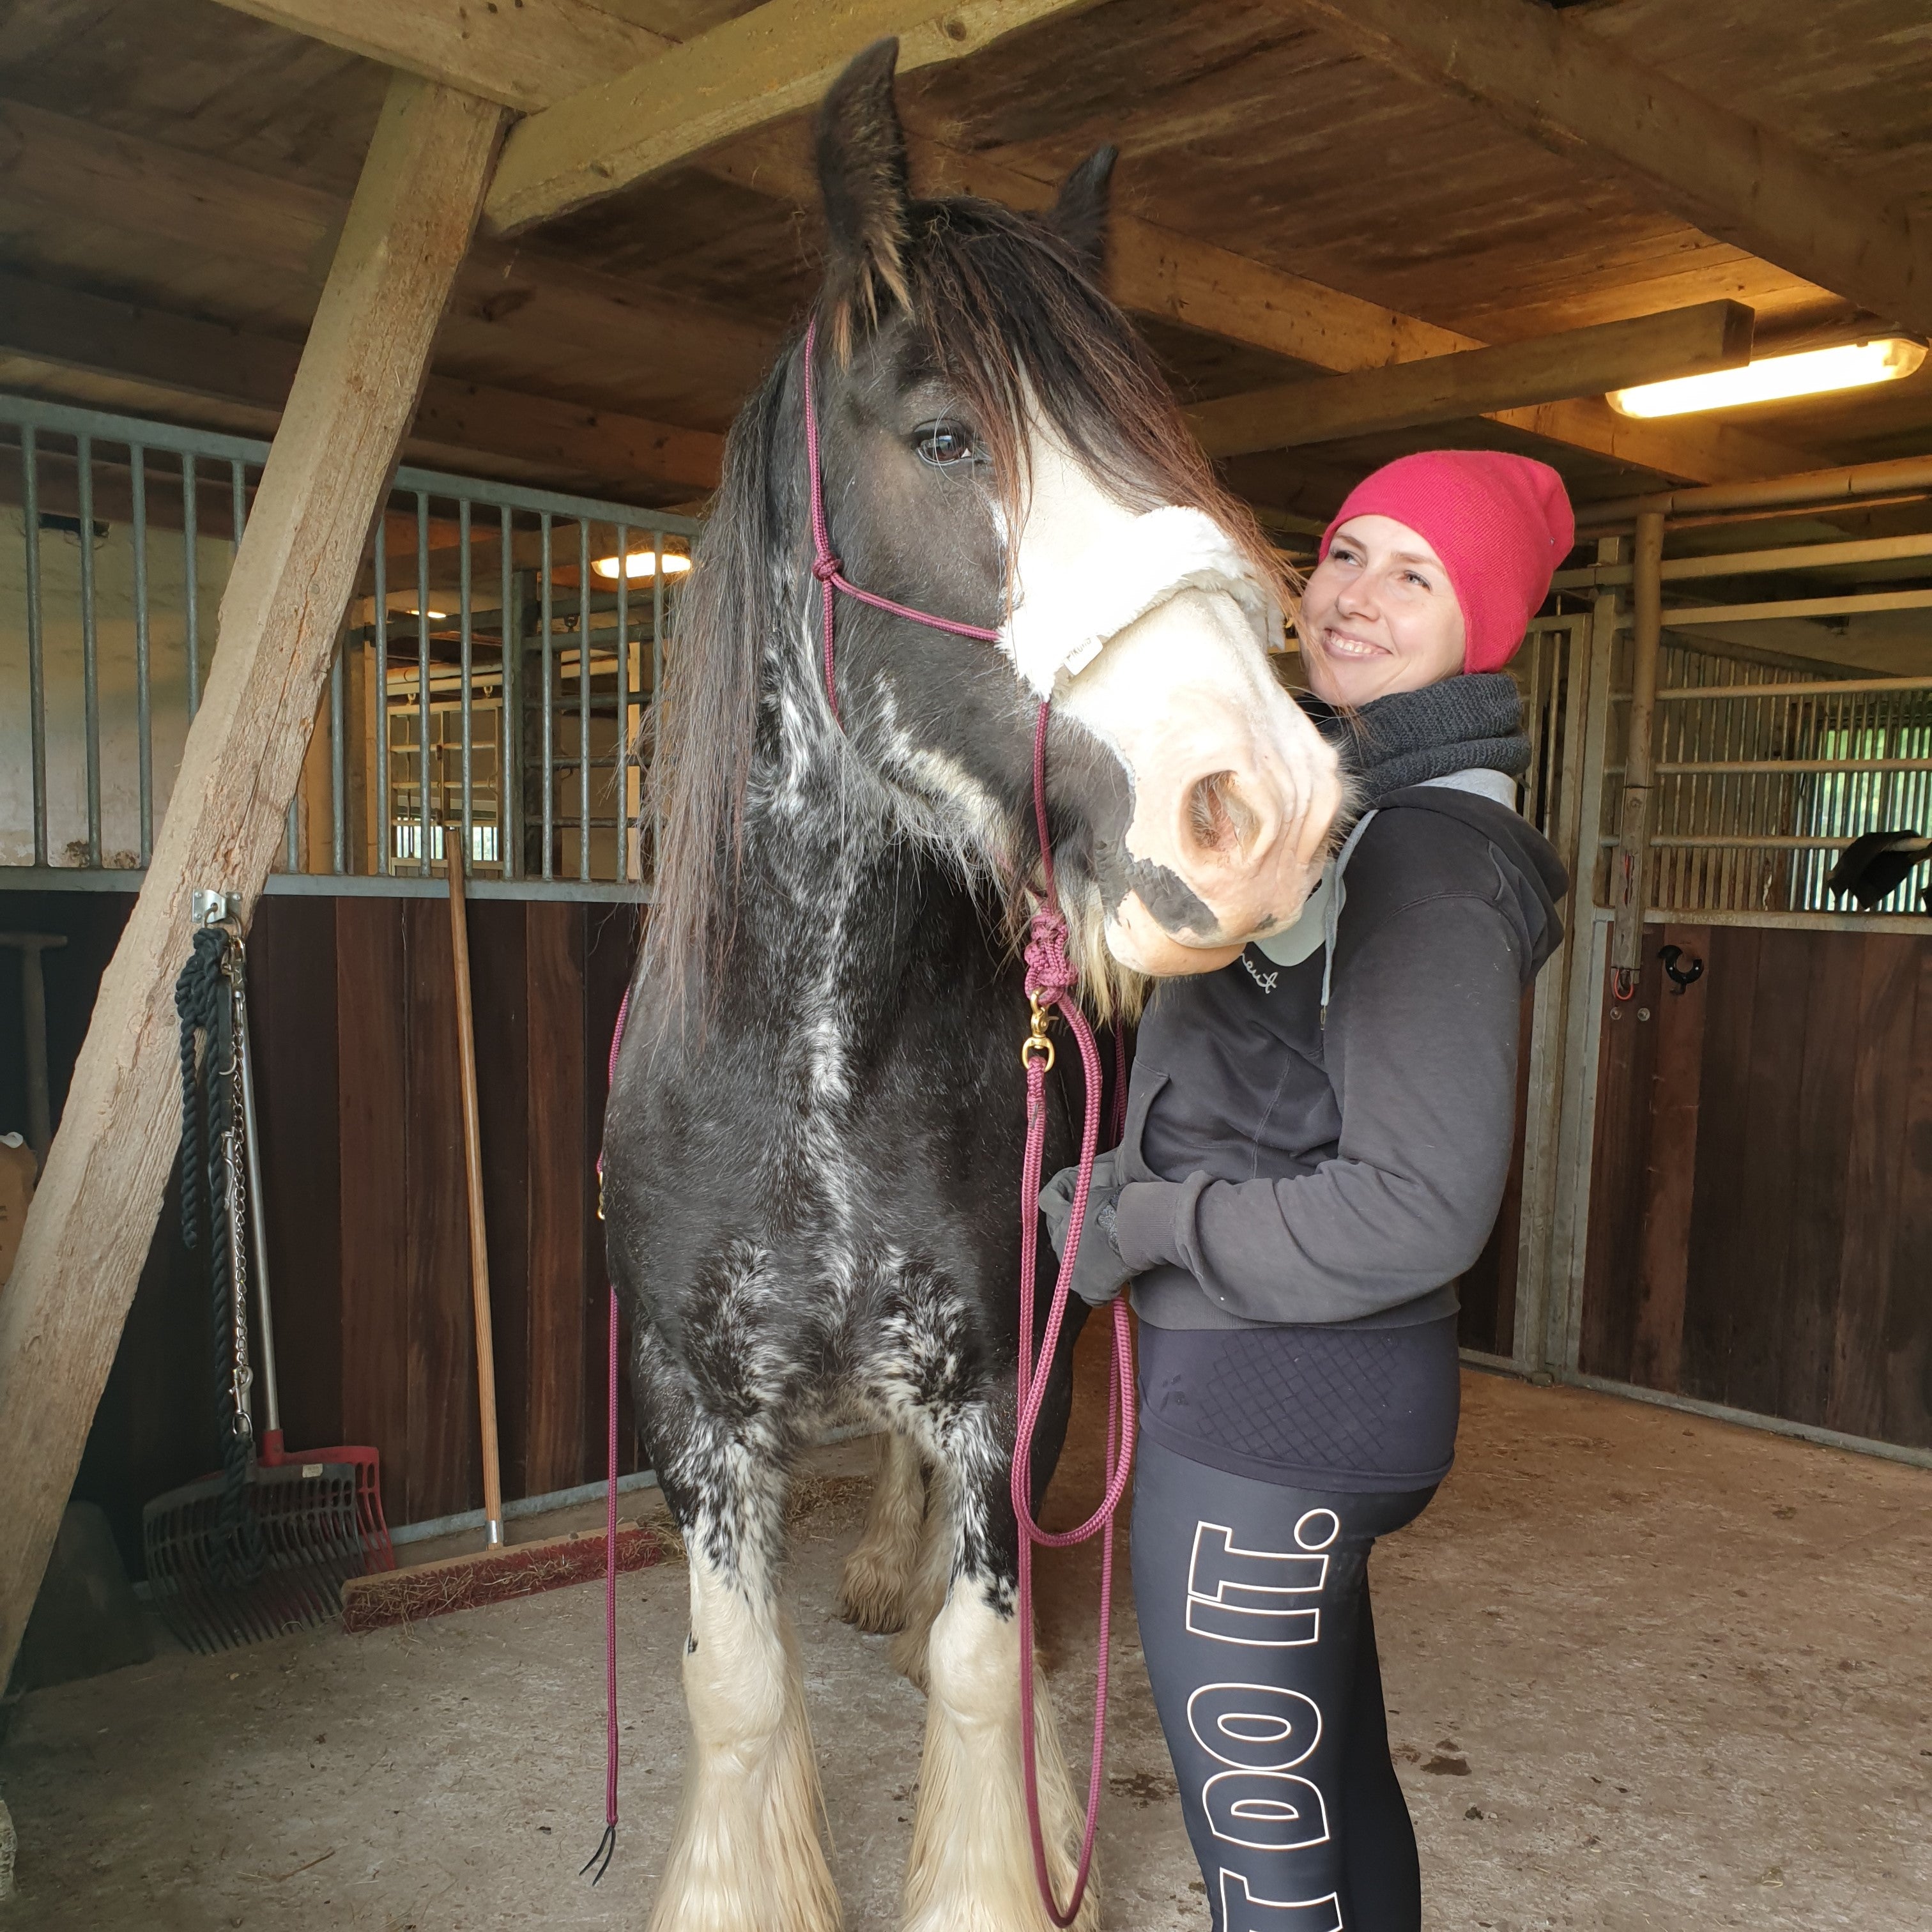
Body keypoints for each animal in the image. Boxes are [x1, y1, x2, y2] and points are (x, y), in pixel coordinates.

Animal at [602, 45, 1344, 1932]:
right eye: (943, 436)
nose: (1265, 810)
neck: (808, 1069)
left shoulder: (1011, 1372)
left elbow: (973, 1662)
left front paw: (1013, 1856)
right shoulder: (692, 1407)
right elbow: (737, 1683)